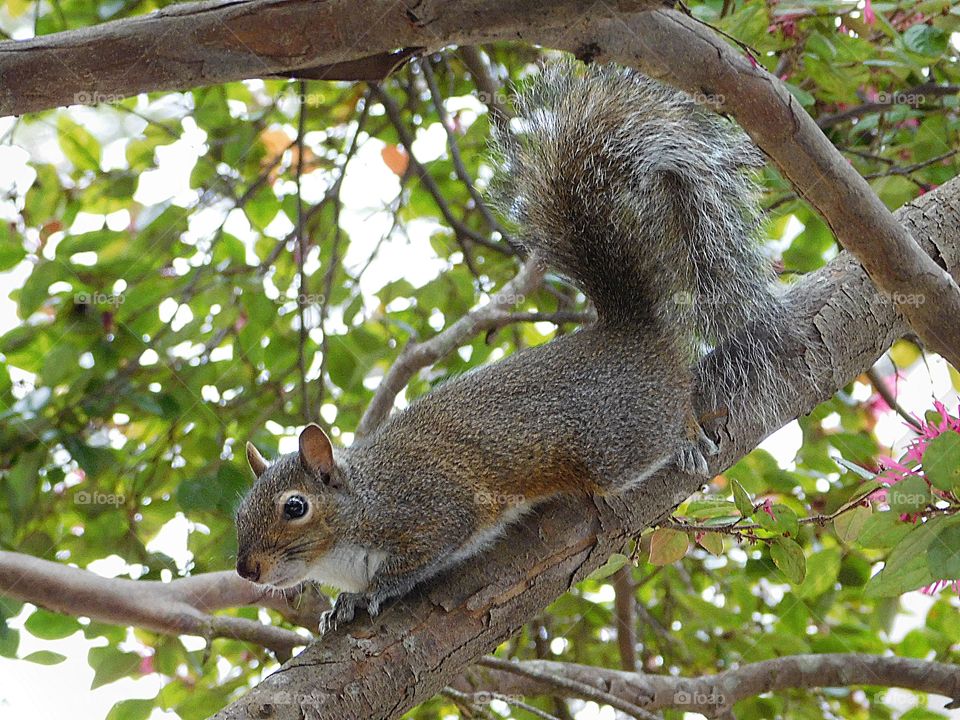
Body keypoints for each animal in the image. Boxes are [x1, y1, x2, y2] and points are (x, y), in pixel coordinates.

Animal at [236, 63, 792, 636]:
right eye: (240, 512)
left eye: (294, 507)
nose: (246, 569)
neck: (359, 505)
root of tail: (631, 329)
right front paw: (340, 605)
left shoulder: (431, 510)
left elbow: (418, 558)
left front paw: (372, 593)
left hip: (615, 441)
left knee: (668, 417)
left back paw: (686, 440)